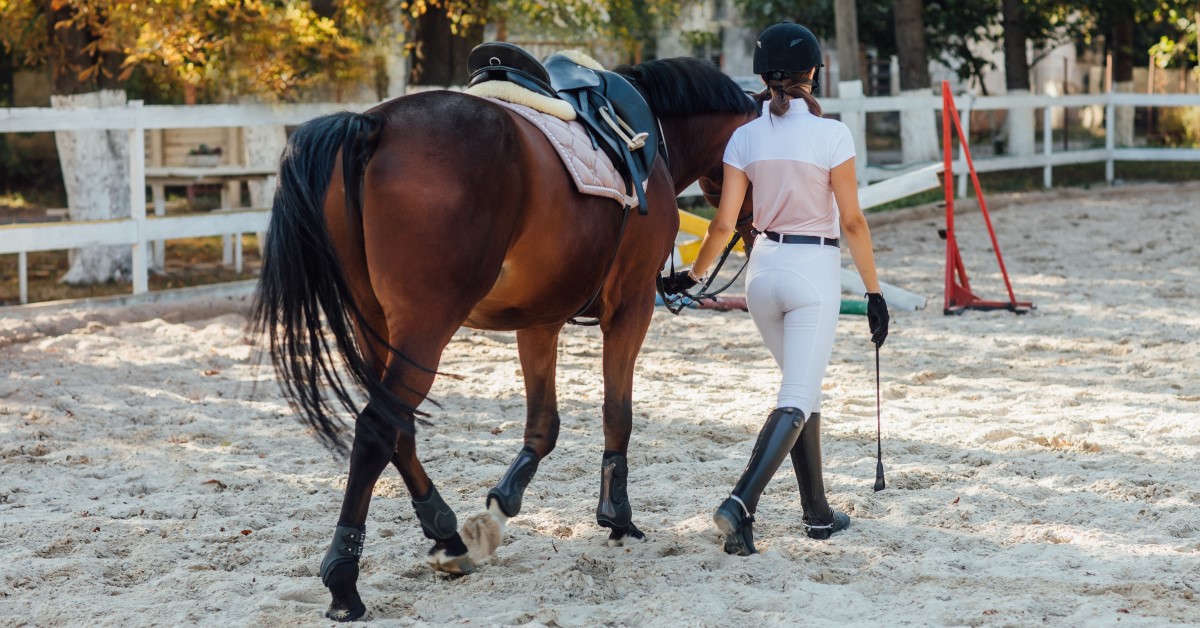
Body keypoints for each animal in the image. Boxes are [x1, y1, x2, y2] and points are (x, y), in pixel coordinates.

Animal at [251, 56, 759, 621]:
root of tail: (373, 125)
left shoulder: (538, 320)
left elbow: (543, 427)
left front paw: (504, 502)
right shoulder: (630, 309)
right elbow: (617, 414)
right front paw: (618, 517)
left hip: (377, 327)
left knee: (397, 429)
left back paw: (446, 533)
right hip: (426, 326)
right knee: (377, 430)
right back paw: (344, 579)